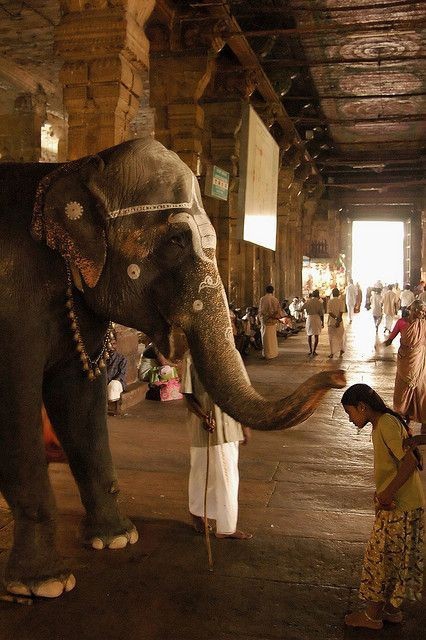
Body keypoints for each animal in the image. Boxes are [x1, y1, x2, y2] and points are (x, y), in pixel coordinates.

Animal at [0, 137, 345, 598]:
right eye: (178, 241)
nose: (341, 377)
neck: (71, 169)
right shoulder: (11, 307)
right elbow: (15, 405)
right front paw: (44, 584)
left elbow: (80, 398)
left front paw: (116, 539)